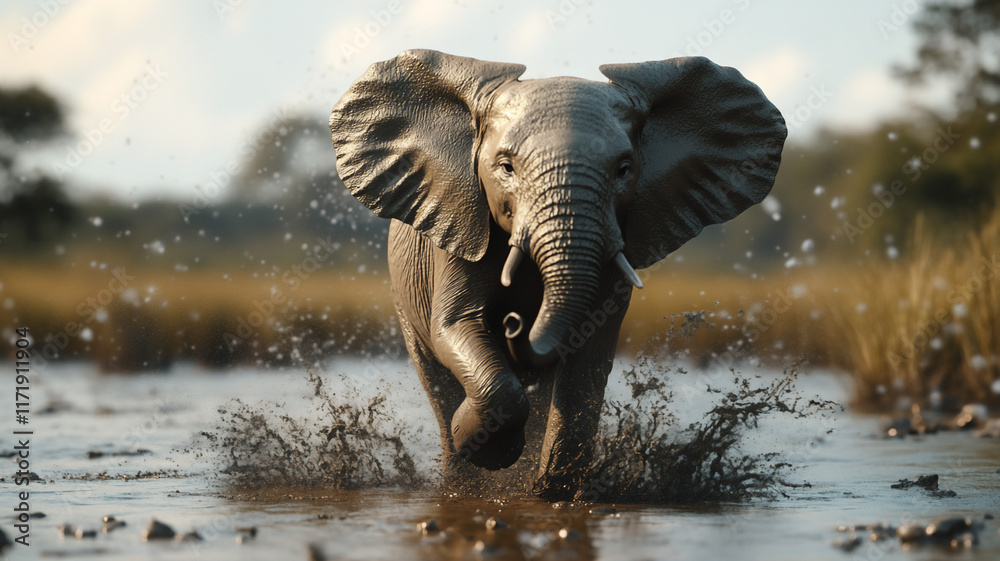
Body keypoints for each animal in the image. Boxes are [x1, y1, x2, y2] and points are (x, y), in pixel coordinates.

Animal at [329, 49, 786, 500]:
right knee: (436, 380)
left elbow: (588, 357)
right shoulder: (462, 226)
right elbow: (457, 324)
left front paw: (550, 491)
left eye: (624, 169)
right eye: (506, 167)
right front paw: (488, 449)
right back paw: (462, 478)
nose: (515, 323)